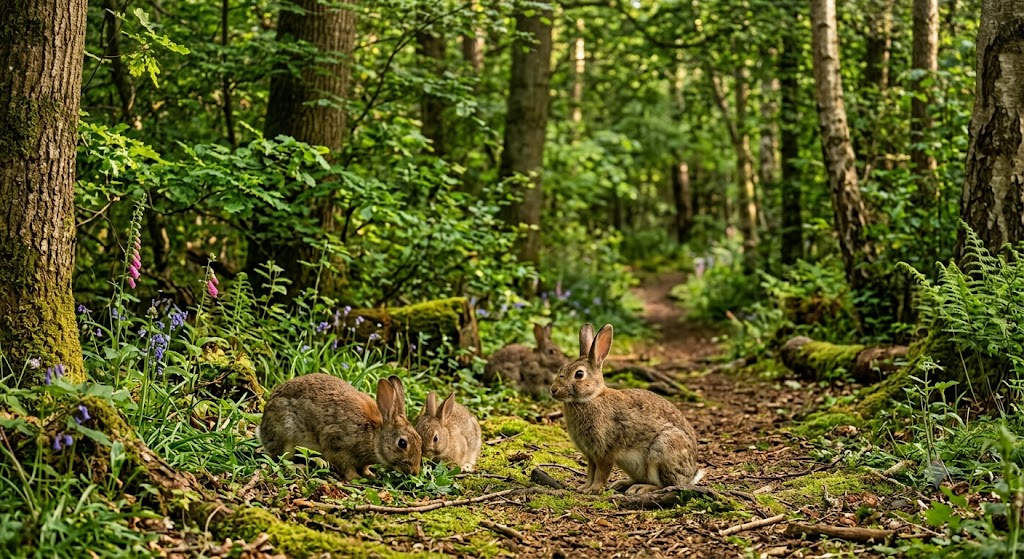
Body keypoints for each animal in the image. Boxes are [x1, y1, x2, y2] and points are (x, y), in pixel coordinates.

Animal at [260, 373, 421, 480]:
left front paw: (370, 474)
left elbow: (364, 467)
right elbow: (345, 466)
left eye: (420, 439)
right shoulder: (337, 445)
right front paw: (356, 477)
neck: (374, 436)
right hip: (286, 436)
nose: (414, 471)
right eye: (402, 443)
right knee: (280, 458)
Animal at [550, 323, 700, 494]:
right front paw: (583, 488)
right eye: (562, 368)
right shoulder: (591, 455)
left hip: (663, 450)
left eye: (579, 374)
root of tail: (690, 476)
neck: (592, 397)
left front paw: (593, 490)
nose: (553, 390)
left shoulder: (605, 451)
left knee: (666, 484)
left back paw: (639, 488)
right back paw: (622, 484)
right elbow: (590, 472)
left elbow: (601, 473)